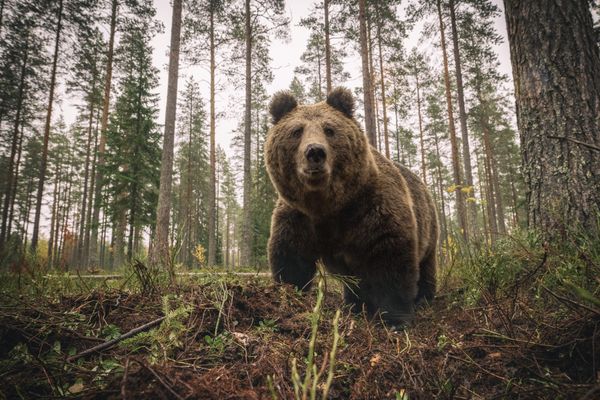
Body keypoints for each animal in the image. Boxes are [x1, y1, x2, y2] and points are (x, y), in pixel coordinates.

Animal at [264, 87, 438, 328]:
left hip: (428, 228)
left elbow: (391, 259)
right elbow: (291, 258)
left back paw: (424, 299)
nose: (315, 152)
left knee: (426, 266)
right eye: (297, 131)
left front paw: (394, 319)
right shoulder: (299, 217)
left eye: (329, 129)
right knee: (355, 284)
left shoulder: (372, 210)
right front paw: (290, 295)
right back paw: (352, 306)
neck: (329, 206)